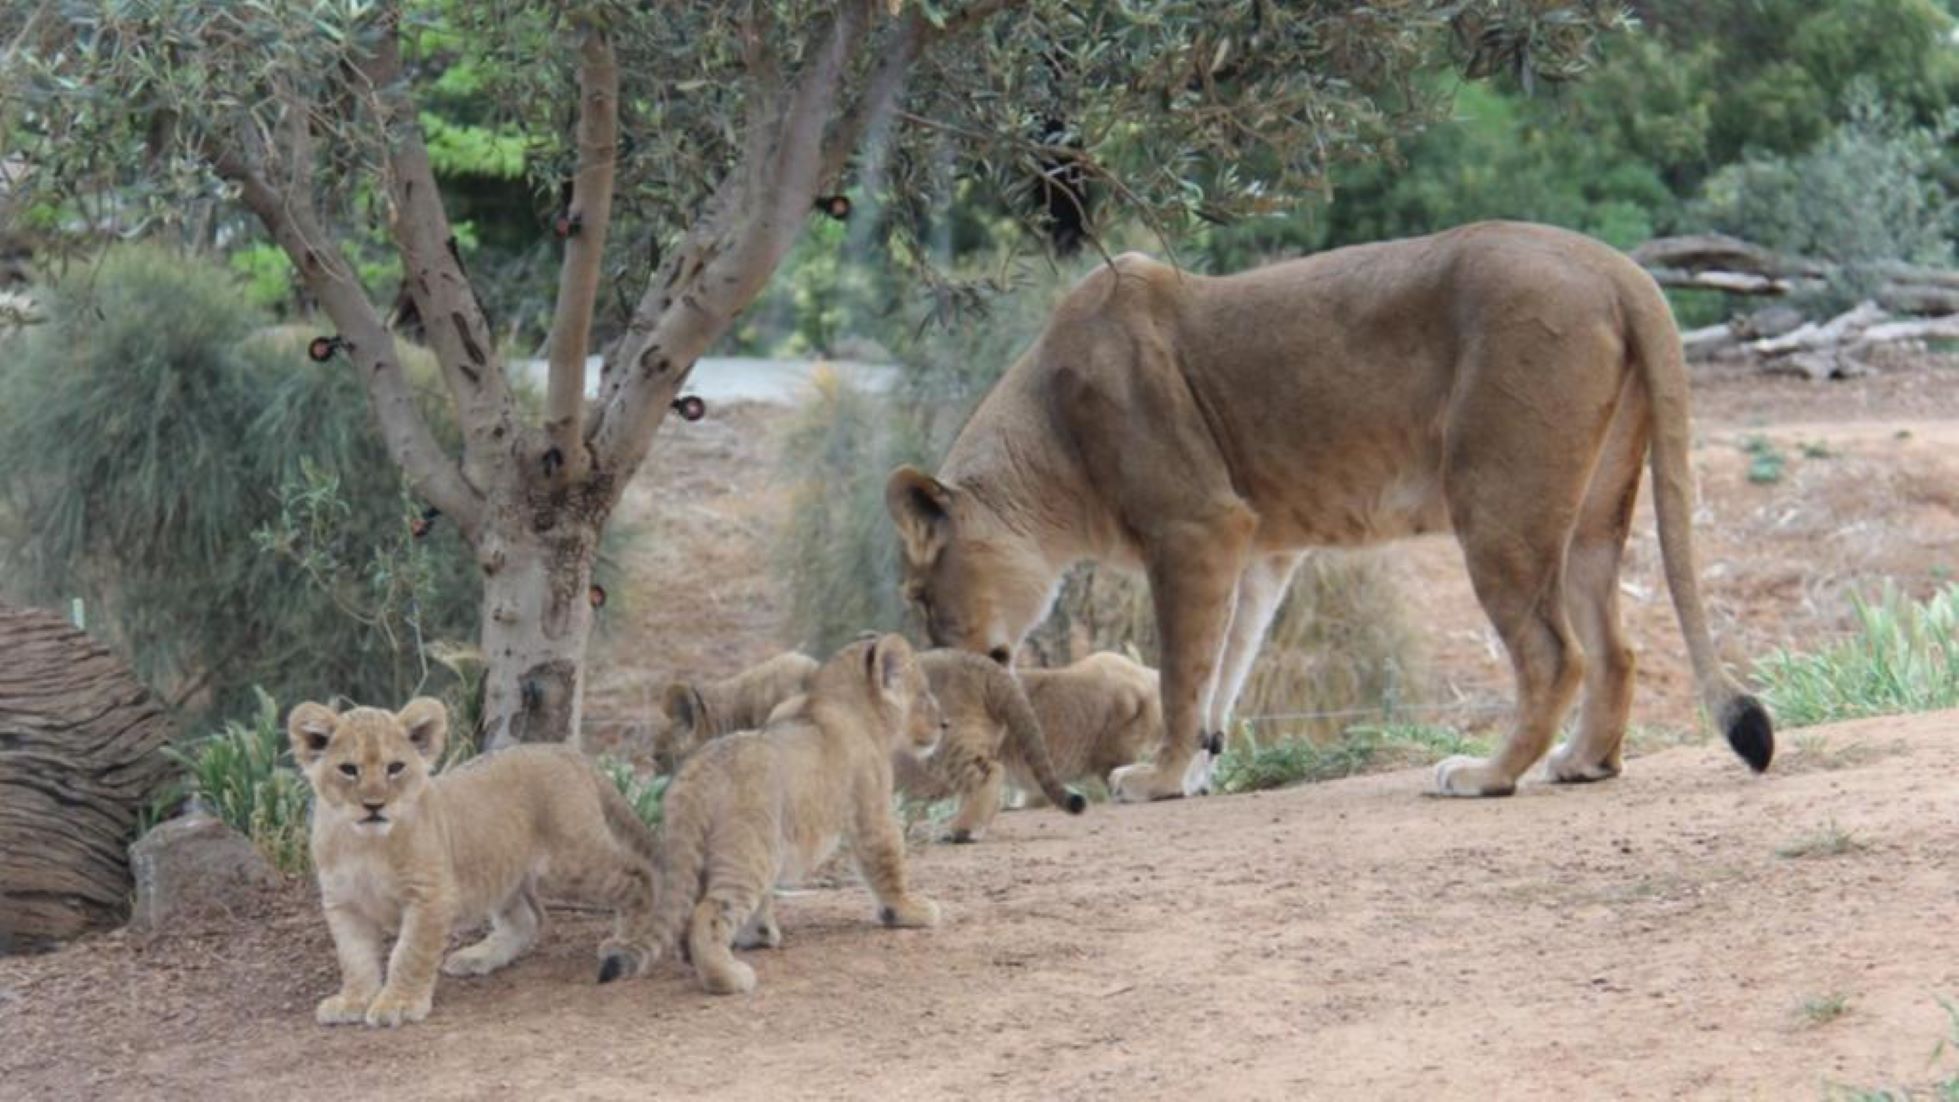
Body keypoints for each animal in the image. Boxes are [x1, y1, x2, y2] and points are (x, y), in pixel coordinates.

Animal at [889, 220, 1778, 802]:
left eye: (921, 596)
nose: (943, 671)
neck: (1047, 440)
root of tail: (1614, 264)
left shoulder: (1193, 527)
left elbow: (1180, 672)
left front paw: (1157, 777)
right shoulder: (1253, 547)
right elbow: (1222, 671)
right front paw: (1197, 770)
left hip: (1497, 503)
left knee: (1556, 656)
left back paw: (1486, 775)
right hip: (1593, 510)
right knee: (1616, 648)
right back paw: (1581, 762)